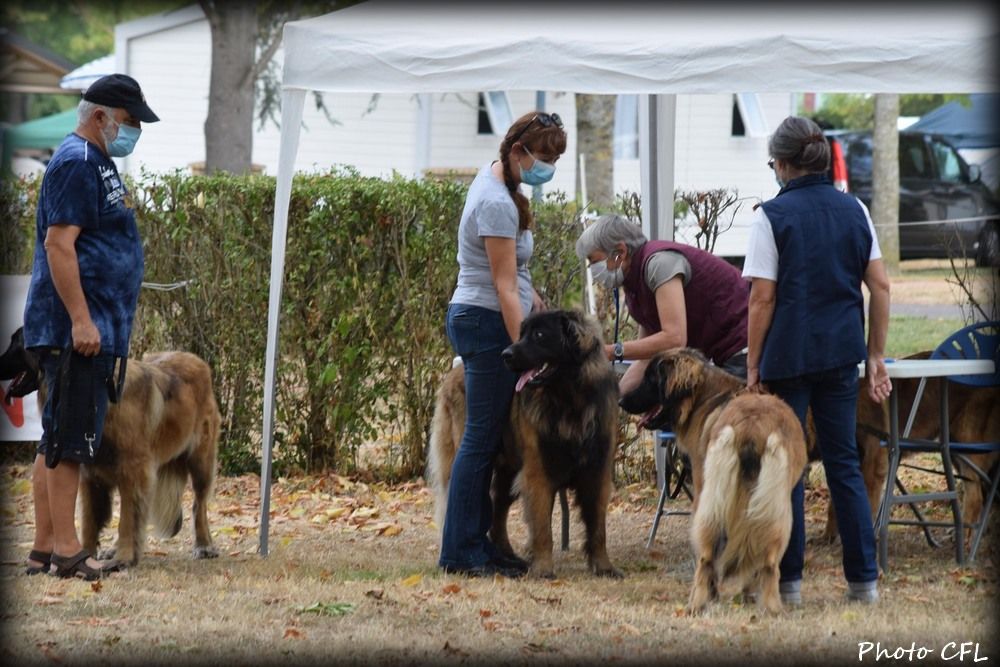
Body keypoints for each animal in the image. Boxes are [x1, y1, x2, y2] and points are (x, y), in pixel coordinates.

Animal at [1, 326, 221, 568]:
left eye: (17, 343)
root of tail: (197, 360)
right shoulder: (90, 474)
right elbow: (90, 520)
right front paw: (86, 557)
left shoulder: (133, 472)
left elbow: (127, 519)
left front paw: (124, 557)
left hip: (200, 461)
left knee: (198, 504)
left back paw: (203, 545)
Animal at [424, 310, 620, 576]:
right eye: (522, 334)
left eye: (539, 335)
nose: (505, 355)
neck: (568, 401)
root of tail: (456, 369)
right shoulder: (538, 472)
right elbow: (542, 527)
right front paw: (543, 568)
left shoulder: (597, 470)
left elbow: (598, 526)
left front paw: (604, 566)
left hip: (508, 471)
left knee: (497, 508)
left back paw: (506, 556)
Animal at [620, 350, 808, 616]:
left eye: (650, 379)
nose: (621, 401)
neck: (705, 397)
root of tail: (751, 426)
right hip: (775, 509)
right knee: (767, 560)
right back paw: (770, 607)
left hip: (717, 503)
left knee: (710, 556)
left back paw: (701, 602)